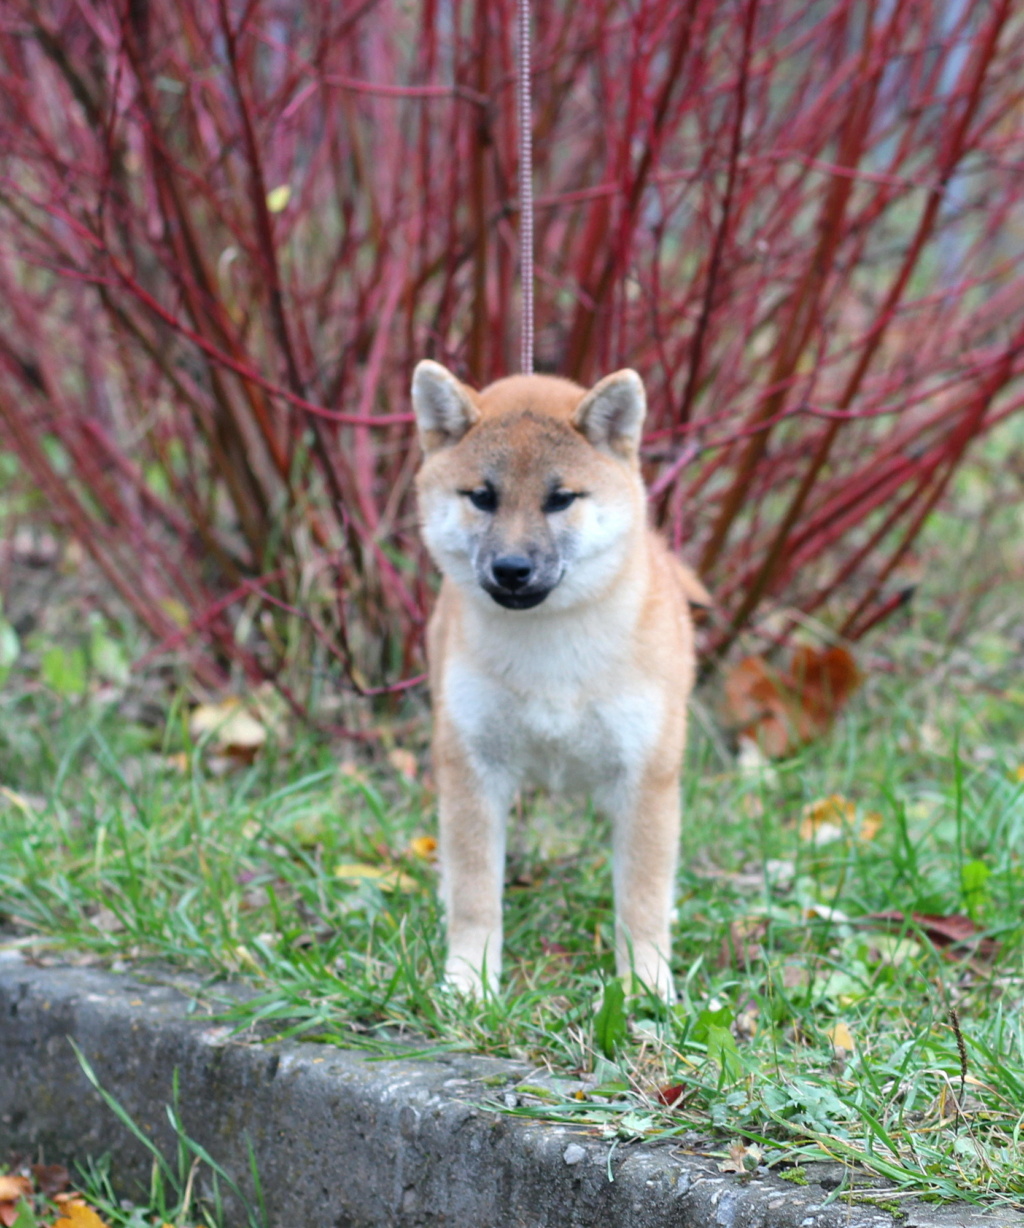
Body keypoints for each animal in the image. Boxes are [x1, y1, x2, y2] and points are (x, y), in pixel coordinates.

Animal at [410, 358, 707, 1002]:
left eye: (560, 498)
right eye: (482, 496)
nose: (512, 569)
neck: (550, 660)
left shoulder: (645, 773)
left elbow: (640, 899)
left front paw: (646, 985)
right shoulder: (473, 763)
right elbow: (476, 895)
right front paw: (470, 982)